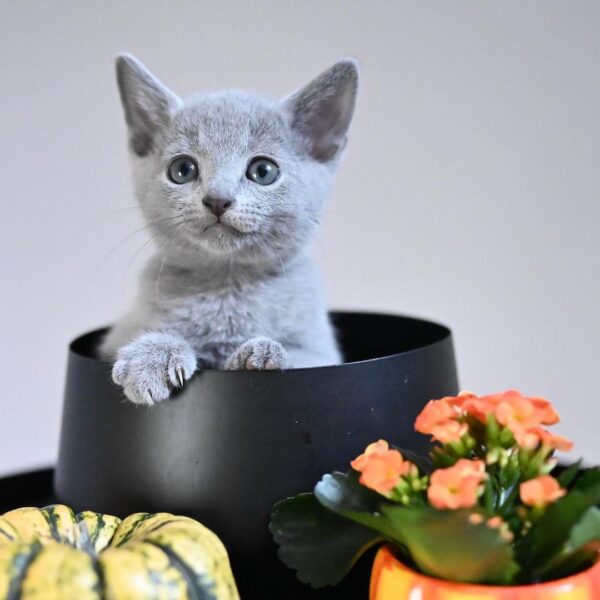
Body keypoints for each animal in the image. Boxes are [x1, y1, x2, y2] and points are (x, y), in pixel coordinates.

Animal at [101, 54, 358, 406]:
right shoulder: (118, 334)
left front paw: (262, 353)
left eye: (263, 171)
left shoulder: (321, 350)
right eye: (182, 170)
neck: (229, 285)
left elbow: (302, 357)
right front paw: (152, 356)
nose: (217, 199)